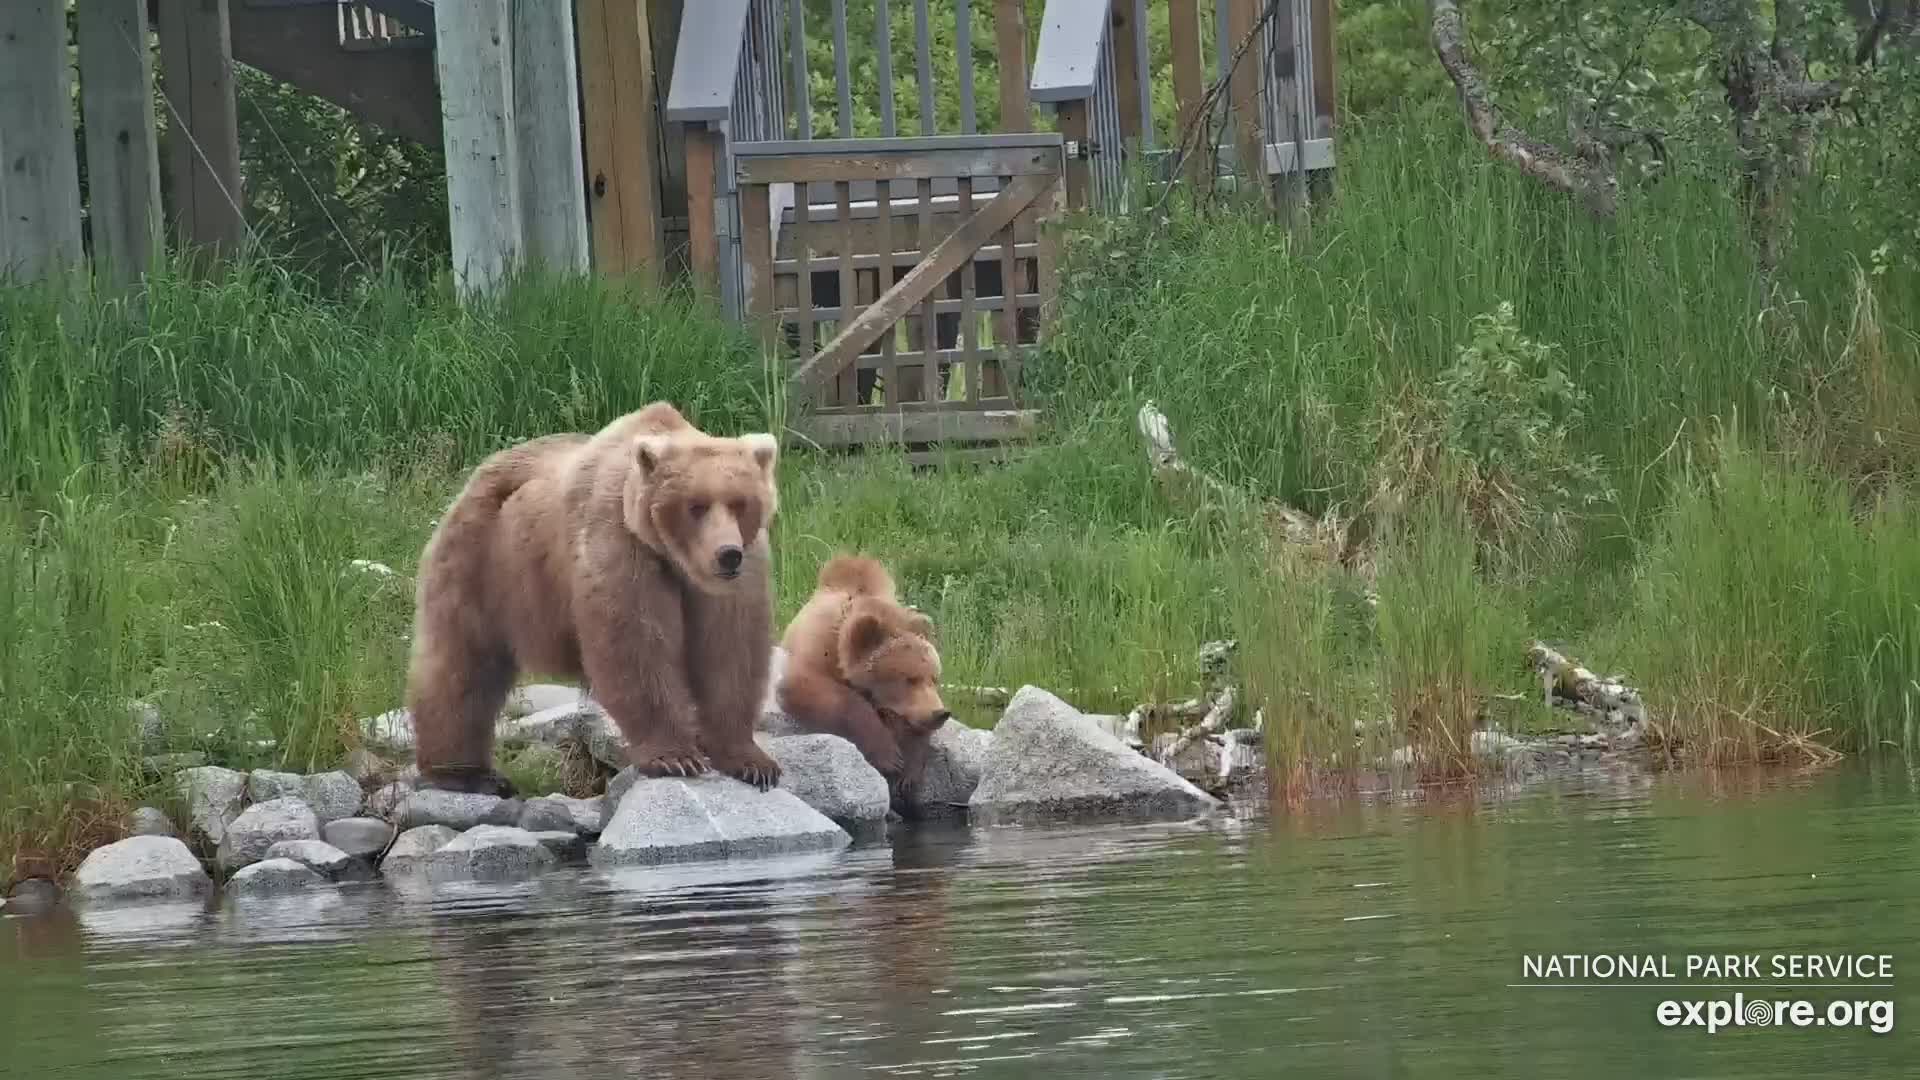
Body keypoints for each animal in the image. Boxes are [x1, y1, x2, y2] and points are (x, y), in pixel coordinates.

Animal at [404, 400, 783, 796]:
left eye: (740, 503)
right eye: (696, 506)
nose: (727, 555)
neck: (674, 558)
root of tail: (476, 475)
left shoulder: (739, 577)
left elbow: (731, 649)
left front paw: (752, 762)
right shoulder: (619, 542)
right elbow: (634, 644)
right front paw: (675, 756)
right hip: (482, 561)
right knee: (461, 665)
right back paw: (464, 772)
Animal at [775, 554, 951, 810]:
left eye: (934, 677)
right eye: (909, 679)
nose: (940, 713)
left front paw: (908, 771)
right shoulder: (817, 651)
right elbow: (812, 688)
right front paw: (889, 756)